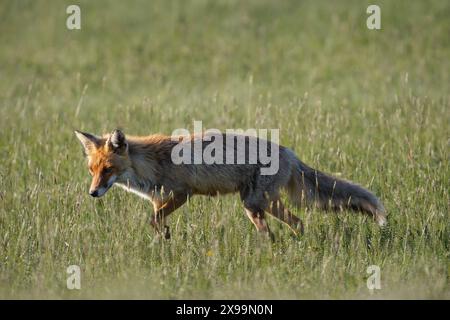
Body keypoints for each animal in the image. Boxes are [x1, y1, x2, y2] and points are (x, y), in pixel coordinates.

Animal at [74, 129, 386, 239]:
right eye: (92, 170)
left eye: (108, 169)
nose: (92, 193)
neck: (151, 163)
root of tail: (290, 152)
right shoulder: (157, 200)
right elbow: (155, 221)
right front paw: (164, 240)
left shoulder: (183, 193)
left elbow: (154, 220)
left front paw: (166, 236)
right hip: (261, 203)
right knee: (296, 224)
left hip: (253, 203)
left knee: (275, 231)